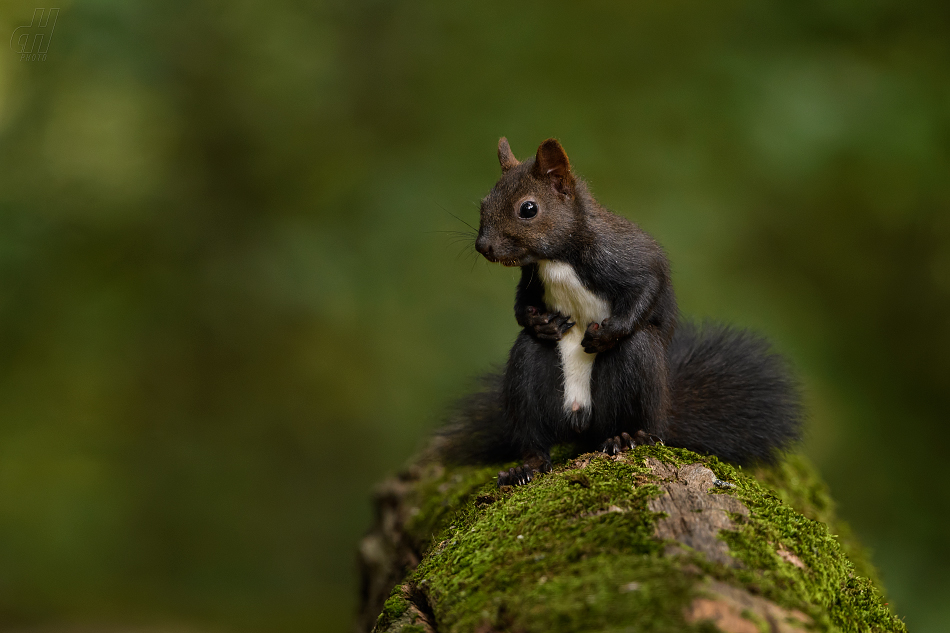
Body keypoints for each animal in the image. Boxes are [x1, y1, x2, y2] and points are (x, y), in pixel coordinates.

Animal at [440, 137, 804, 484]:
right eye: (485, 202)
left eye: (528, 209)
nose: (483, 246)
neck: (555, 258)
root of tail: (580, 419)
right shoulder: (530, 279)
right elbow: (520, 307)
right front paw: (541, 322)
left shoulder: (624, 258)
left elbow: (647, 287)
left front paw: (606, 335)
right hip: (532, 384)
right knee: (534, 417)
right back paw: (525, 466)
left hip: (635, 381)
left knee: (638, 405)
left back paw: (628, 437)